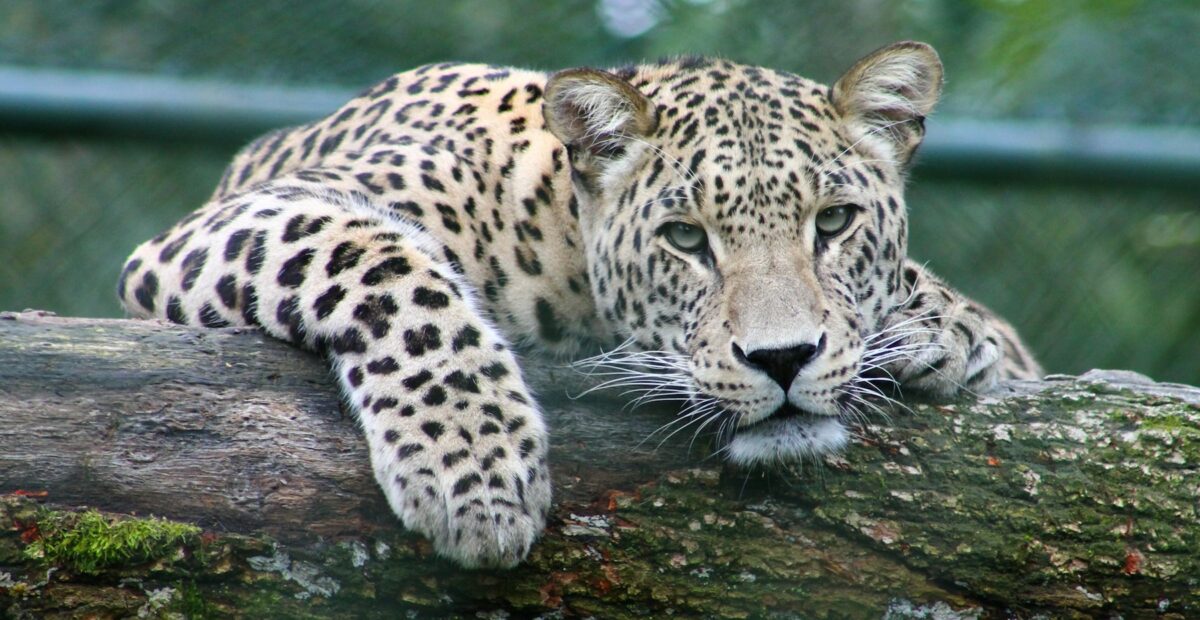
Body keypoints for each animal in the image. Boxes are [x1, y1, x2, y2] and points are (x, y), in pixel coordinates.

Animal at [118, 41, 1041, 568]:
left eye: (836, 222)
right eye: (685, 238)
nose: (782, 360)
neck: (556, 232)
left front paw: (949, 328)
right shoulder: (231, 223)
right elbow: (386, 266)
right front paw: (476, 470)